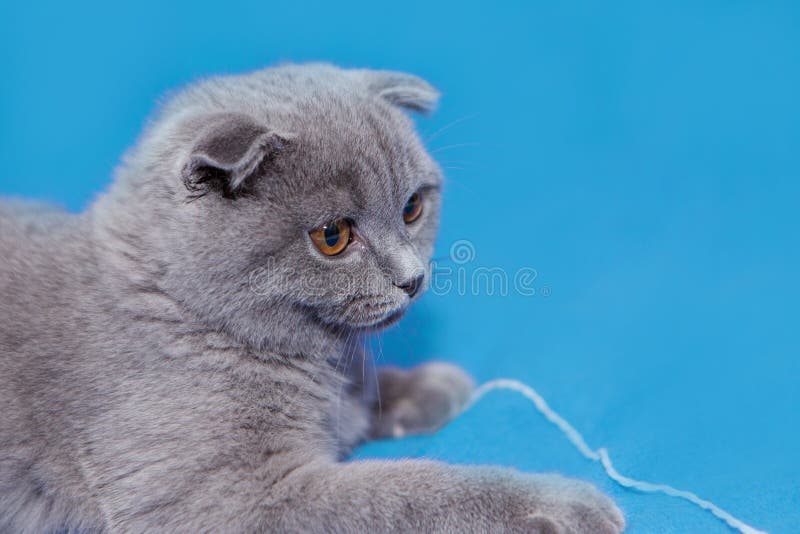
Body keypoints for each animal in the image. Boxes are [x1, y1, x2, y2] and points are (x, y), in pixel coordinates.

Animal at [0, 65, 624, 532]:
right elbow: (401, 493)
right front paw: (561, 505)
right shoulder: (227, 501)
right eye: (333, 237)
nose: (413, 277)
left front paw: (427, 385)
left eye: (412, 208)